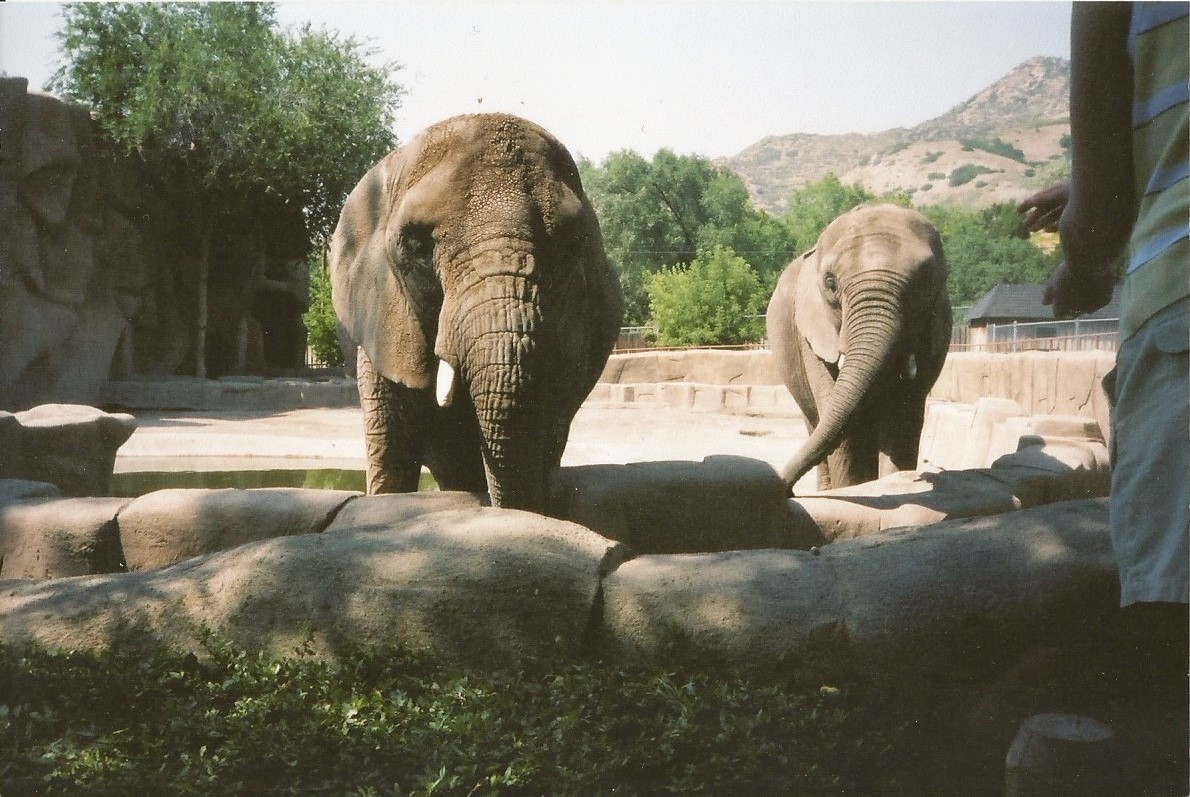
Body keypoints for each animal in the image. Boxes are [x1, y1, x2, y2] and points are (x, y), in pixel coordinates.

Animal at [766, 203, 951, 492]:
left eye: (925, 282)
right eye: (830, 283)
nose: (785, 487)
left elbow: (902, 416)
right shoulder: (810, 334)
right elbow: (840, 419)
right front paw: (852, 490)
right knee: (815, 422)